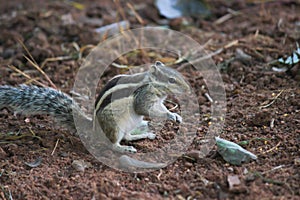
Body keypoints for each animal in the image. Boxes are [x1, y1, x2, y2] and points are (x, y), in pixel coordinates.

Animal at [0, 61, 190, 153]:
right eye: (171, 80)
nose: (188, 89)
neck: (151, 84)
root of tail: (93, 127)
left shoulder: (157, 101)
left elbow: (162, 108)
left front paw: (175, 115)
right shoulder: (143, 98)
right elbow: (145, 109)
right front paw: (170, 116)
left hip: (131, 123)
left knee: (128, 136)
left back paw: (143, 135)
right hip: (114, 126)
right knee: (113, 144)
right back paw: (124, 149)